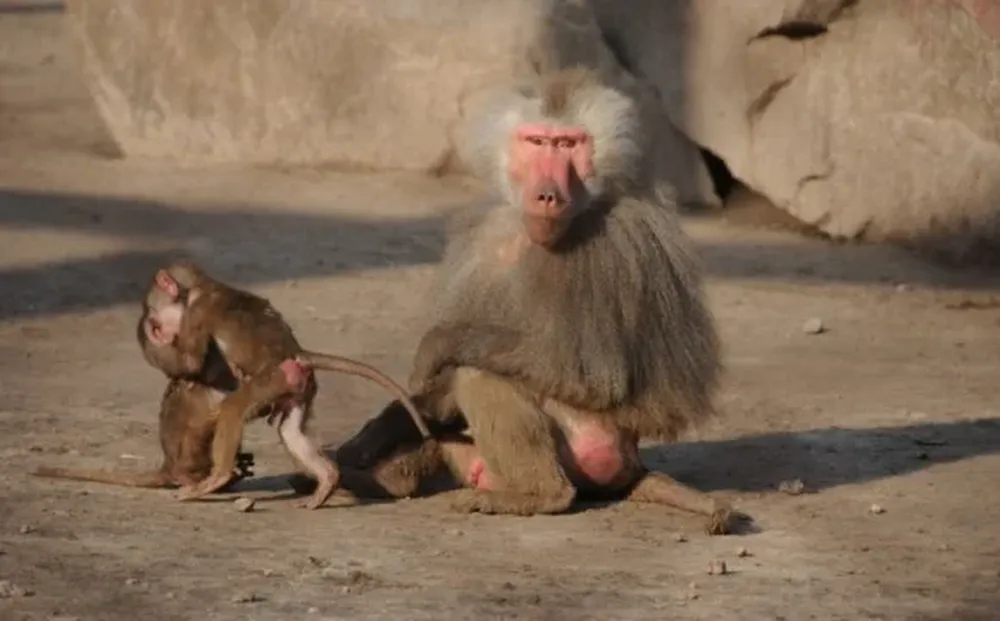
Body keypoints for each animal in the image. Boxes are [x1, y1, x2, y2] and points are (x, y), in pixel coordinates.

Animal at [140, 260, 432, 510]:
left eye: (153, 315)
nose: (153, 325)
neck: (199, 287)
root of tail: (297, 353)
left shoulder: (197, 311)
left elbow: (191, 363)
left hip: (272, 379)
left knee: (234, 410)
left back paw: (217, 478)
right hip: (299, 388)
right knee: (289, 431)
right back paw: (327, 480)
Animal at [334, 67, 739, 534]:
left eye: (568, 145)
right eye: (537, 142)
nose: (547, 195)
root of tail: (632, 464)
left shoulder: (614, 248)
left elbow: (593, 377)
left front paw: (437, 345)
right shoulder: (485, 236)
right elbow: (431, 392)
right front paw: (375, 433)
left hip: (593, 445)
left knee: (480, 375)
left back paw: (538, 495)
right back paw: (381, 480)